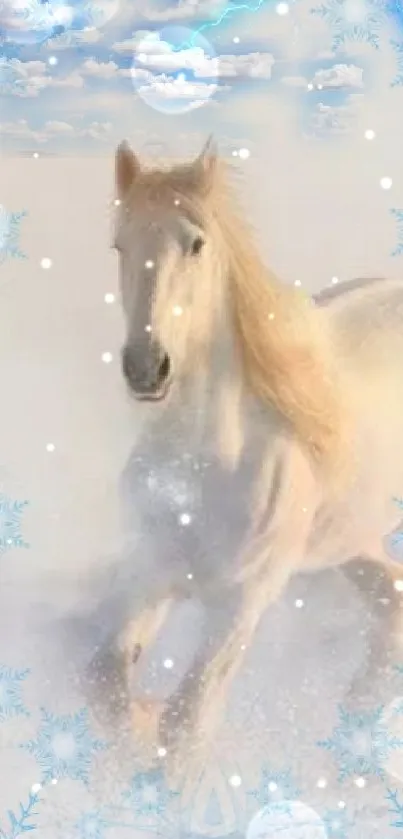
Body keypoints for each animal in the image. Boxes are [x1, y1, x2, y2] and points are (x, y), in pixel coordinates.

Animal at [112, 135, 403, 776]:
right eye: (119, 243)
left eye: (195, 244)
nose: (146, 367)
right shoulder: (151, 572)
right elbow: (108, 683)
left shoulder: (240, 606)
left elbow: (186, 727)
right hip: (351, 539)